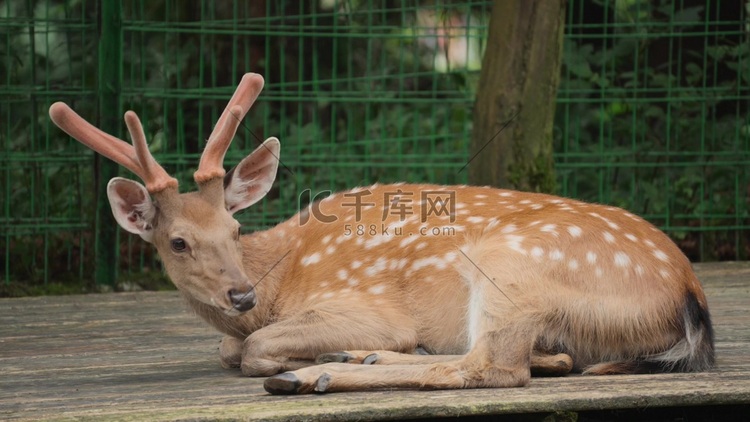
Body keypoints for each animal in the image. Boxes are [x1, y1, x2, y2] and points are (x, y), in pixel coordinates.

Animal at [50, 73, 720, 396]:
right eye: (178, 242)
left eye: (235, 228)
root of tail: (690, 296)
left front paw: (299, 356)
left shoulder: (364, 305)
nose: (240, 294)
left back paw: (317, 374)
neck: (280, 276)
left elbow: (250, 347)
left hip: (513, 265)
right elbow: (227, 348)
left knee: (493, 367)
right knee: (538, 359)